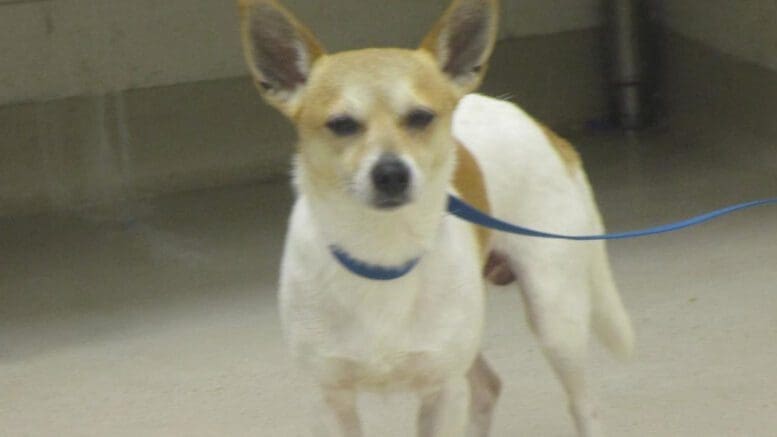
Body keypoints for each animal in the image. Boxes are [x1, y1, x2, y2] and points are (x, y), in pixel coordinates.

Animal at [239, 1, 632, 434]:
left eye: (420, 117)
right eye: (342, 125)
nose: (391, 173)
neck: (382, 255)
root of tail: (543, 129)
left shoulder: (441, 392)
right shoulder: (331, 401)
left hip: (555, 318)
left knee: (583, 406)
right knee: (488, 386)